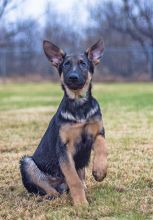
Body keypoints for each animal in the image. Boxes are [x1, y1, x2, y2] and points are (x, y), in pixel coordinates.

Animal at [19, 38, 107, 205]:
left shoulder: (98, 133)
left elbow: (102, 147)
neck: (79, 105)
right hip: (27, 162)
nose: (72, 77)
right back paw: (53, 196)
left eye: (83, 64)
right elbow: (73, 179)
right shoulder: (64, 148)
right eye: (66, 64)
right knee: (49, 190)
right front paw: (81, 204)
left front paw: (99, 171)